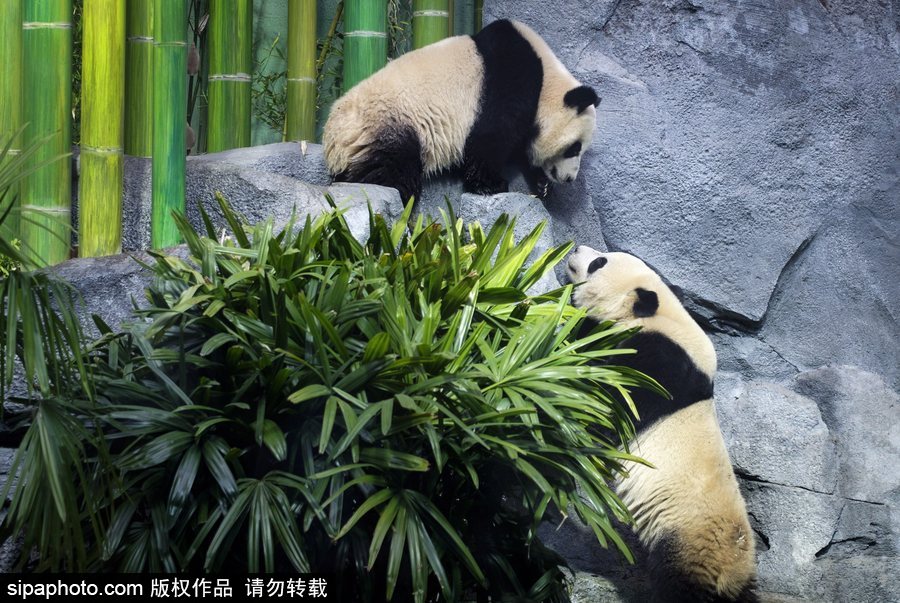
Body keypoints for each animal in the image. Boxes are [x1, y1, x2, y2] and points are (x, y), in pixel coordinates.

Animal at [322, 18, 596, 204]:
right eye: (574, 148)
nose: (569, 179)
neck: (546, 78)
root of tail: (333, 139)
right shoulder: (510, 79)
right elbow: (492, 136)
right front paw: (491, 184)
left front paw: (541, 184)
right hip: (388, 125)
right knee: (389, 172)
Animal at [568, 247, 760, 603]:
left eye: (600, 262)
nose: (575, 250)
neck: (663, 318)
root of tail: (729, 577)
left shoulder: (656, 365)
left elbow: (610, 395)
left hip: (684, 544)